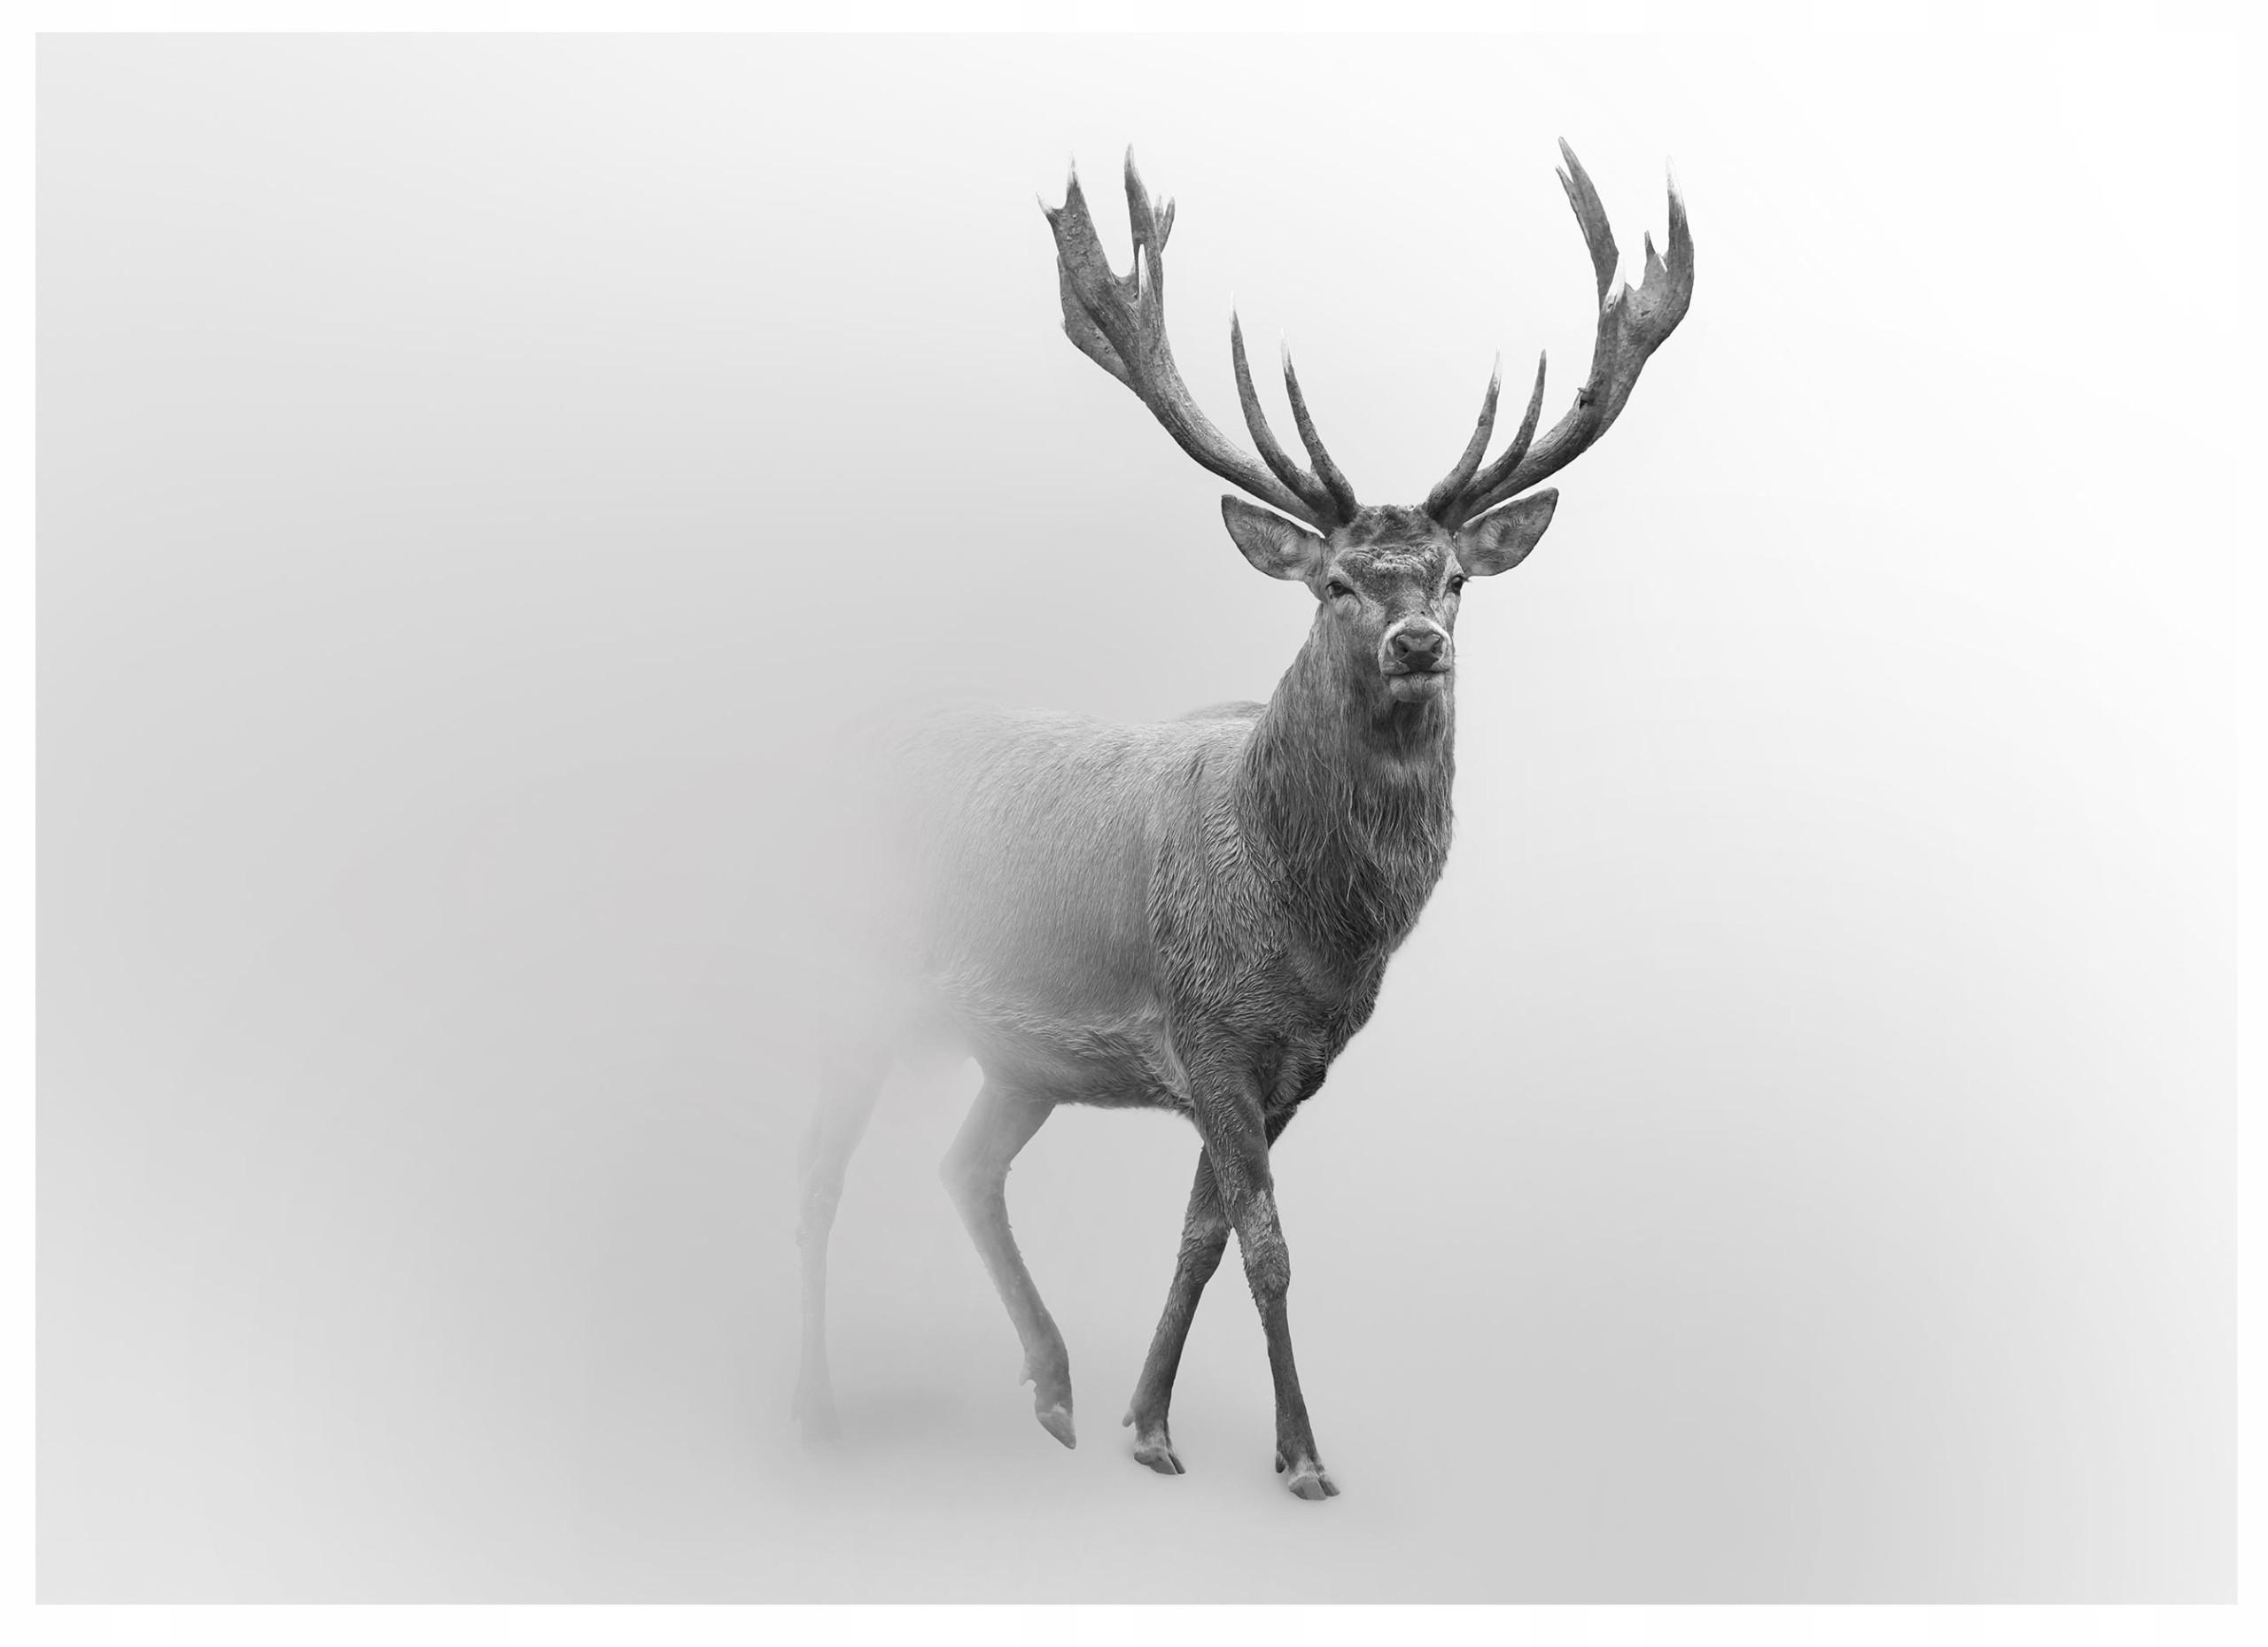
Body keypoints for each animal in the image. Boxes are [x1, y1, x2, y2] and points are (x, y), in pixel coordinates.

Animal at [791, 141, 1692, 1500]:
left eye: (1456, 579)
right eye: (1335, 582)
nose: (1416, 642)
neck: (1315, 928)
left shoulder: (1288, 1068)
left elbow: (1203, 1235)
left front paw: (1146, 1422)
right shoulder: (1206, 1026)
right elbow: (1266, 1243)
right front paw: (1302, 1456)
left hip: (1020, 1055)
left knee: (962, 1163)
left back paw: (1053, 1390)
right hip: (854, 981)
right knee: (820, 1172)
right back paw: (820, 1413)